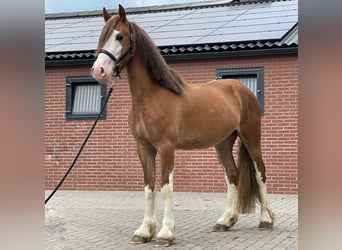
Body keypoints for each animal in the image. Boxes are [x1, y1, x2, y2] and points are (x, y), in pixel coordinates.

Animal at [92, 4, 274, 247]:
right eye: (102, 37)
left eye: (119, 36)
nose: (98, 70)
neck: (154, 96)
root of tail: (243, 90)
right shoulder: (144, 148)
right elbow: (149, 187)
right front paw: (144, 231)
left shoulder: (166, 148)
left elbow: (166, 188)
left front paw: (165, 233)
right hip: (223, 143)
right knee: (233, 175)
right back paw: (225, 221)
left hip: (251, 137)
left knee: (260, 173)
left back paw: (266, 220)